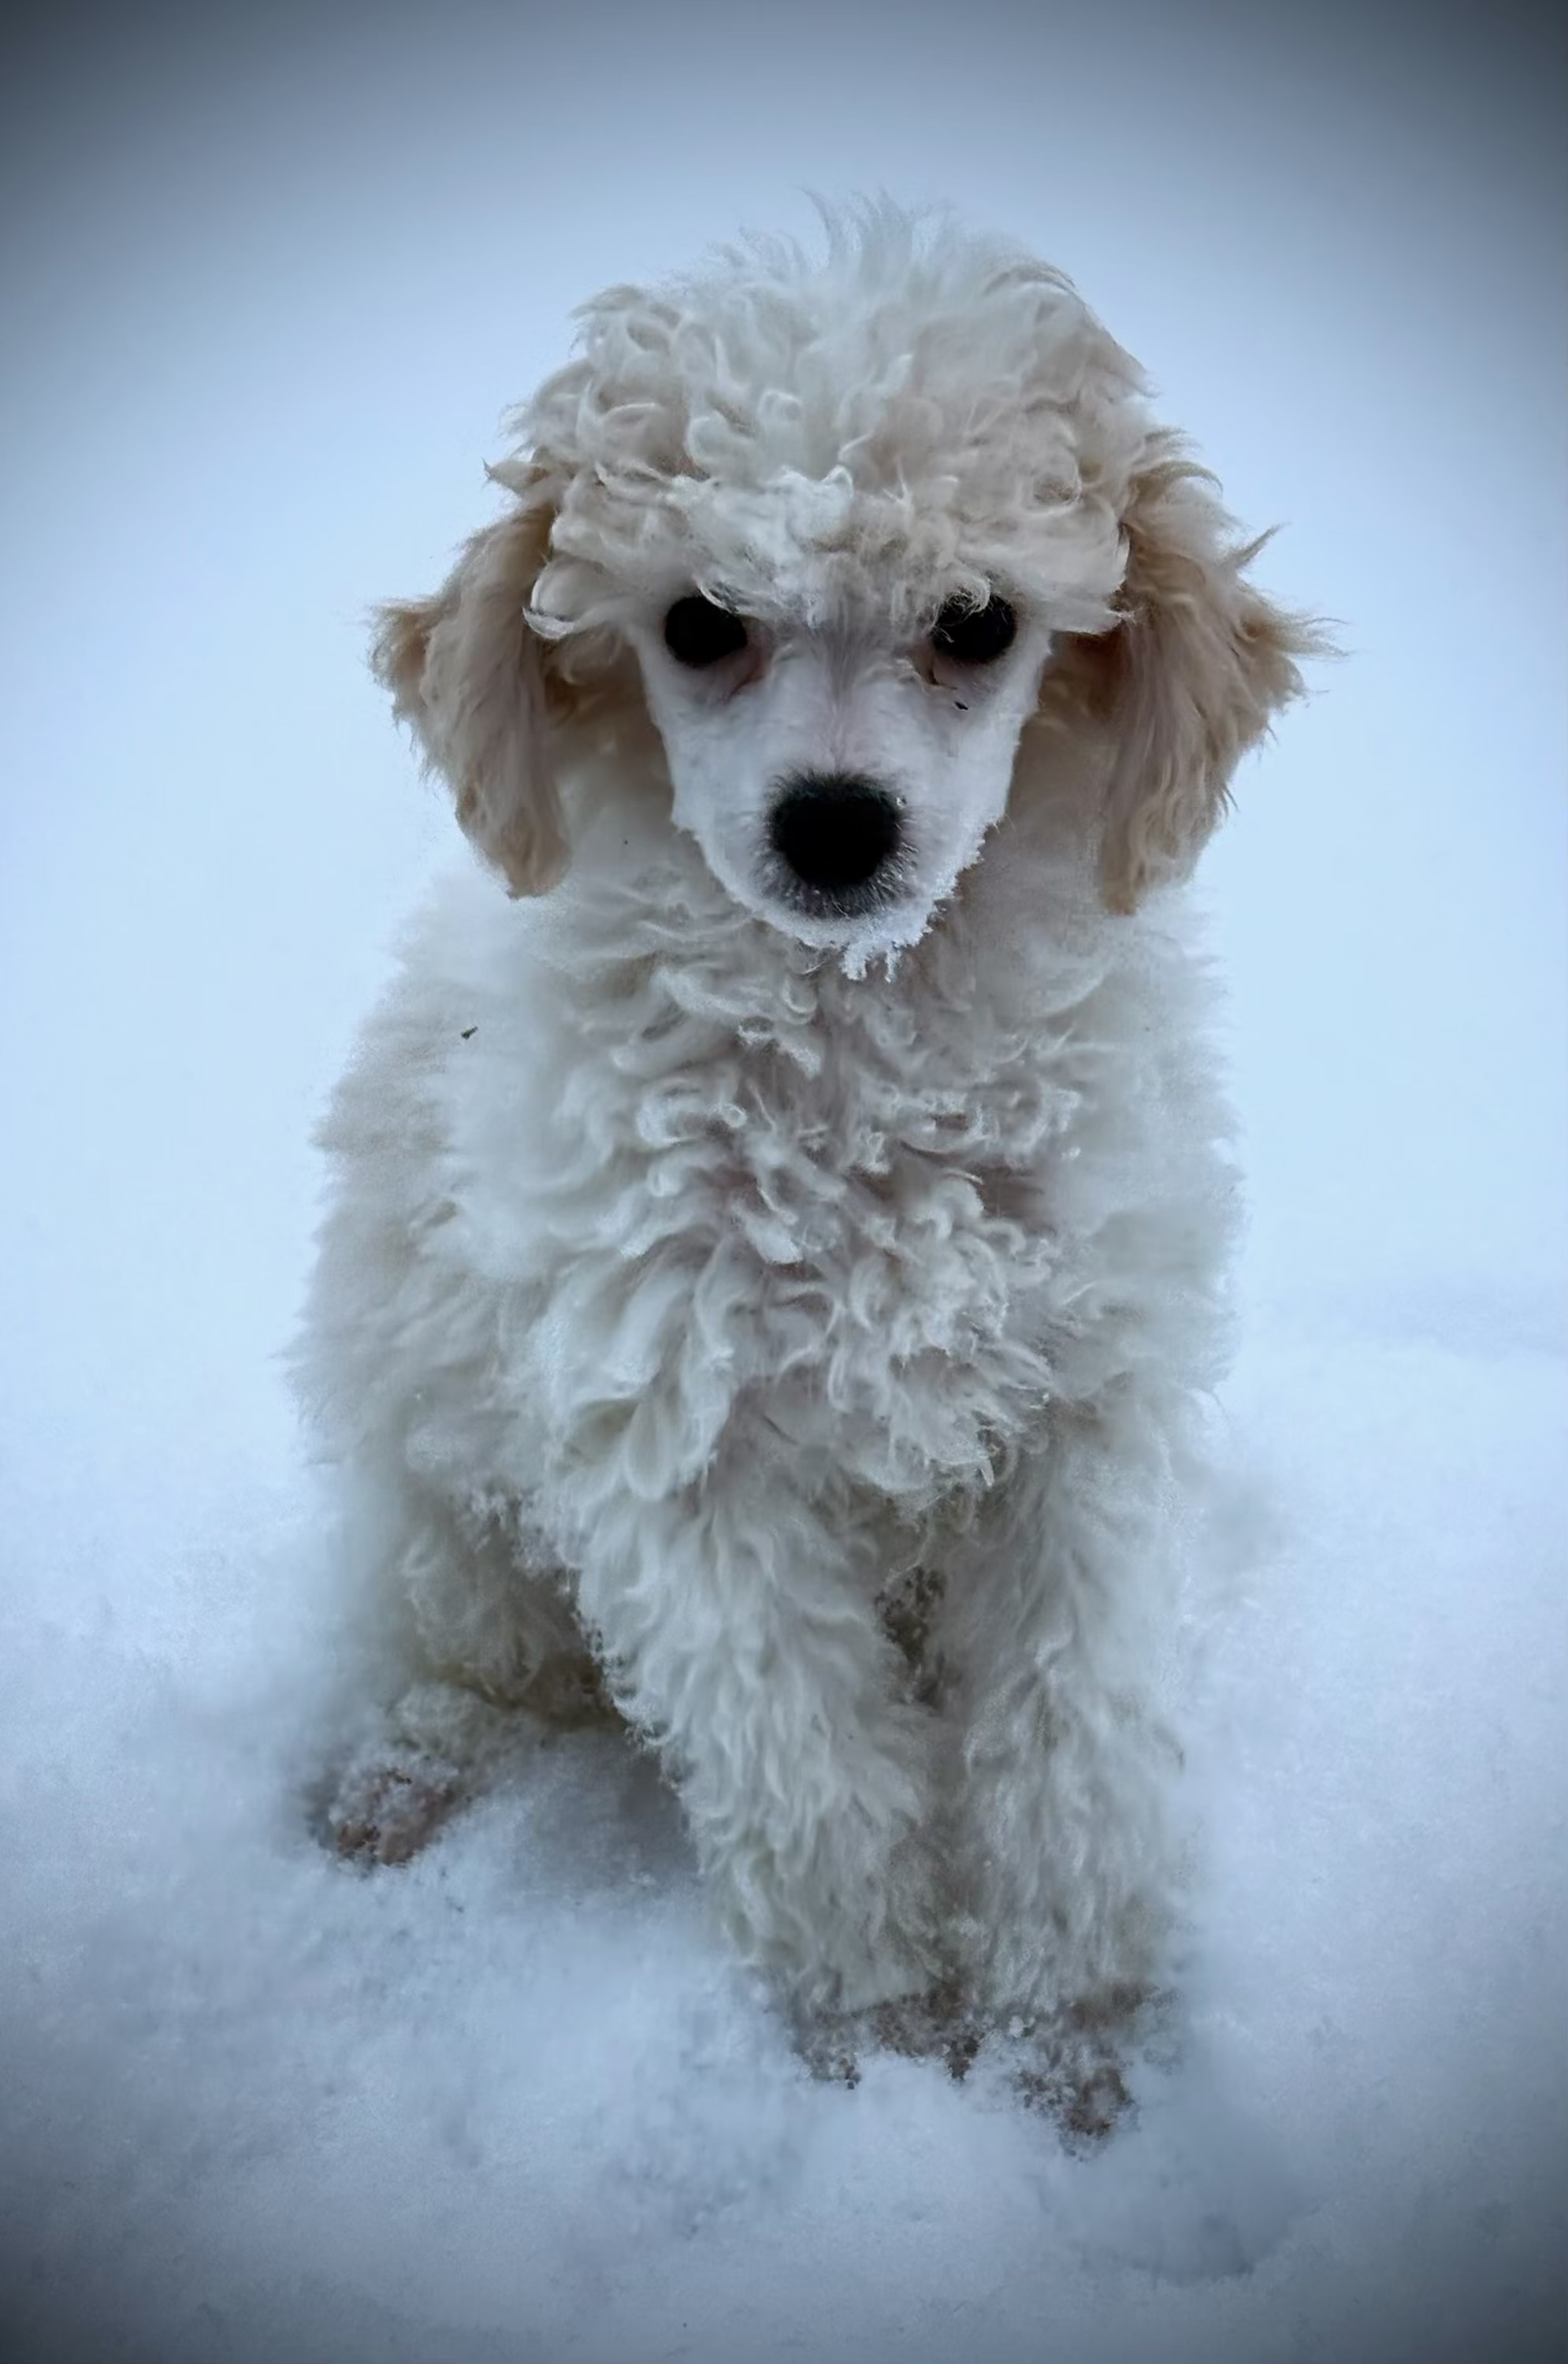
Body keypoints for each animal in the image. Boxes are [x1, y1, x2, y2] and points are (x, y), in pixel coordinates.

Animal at [293, 199, 1320, 2080]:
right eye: (698, 624)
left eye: (979, 621)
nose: (835, 828)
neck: (859, 1048)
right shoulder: (680, 1437)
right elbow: (810, 1767)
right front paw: (883, 2041)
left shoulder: (1081, 1403)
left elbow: (1072, 1732)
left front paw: (1065, 2042)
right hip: (433, 1482)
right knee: (485, 1664)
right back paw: (402, 1778)